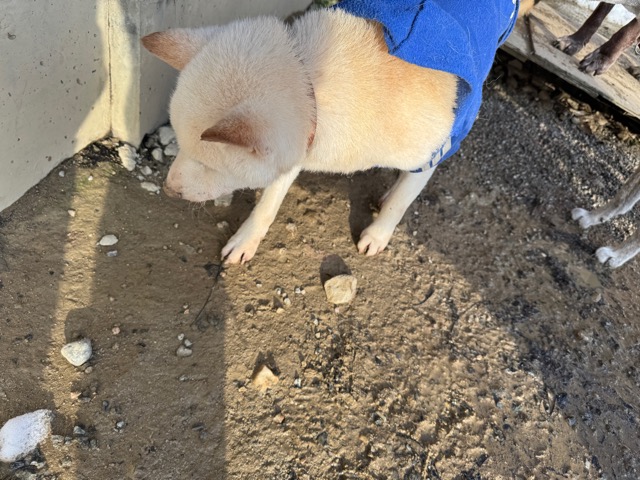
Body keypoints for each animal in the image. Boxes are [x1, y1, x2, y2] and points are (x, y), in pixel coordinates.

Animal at [142, 0, 529, 264]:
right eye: (181, 144)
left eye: (208, 164)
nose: (168, 189)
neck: (313, 81)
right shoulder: (302, 144)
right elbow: (268, 203)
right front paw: (246, 240)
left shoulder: (436, 148)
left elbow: (404, 200)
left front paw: (378, 233)